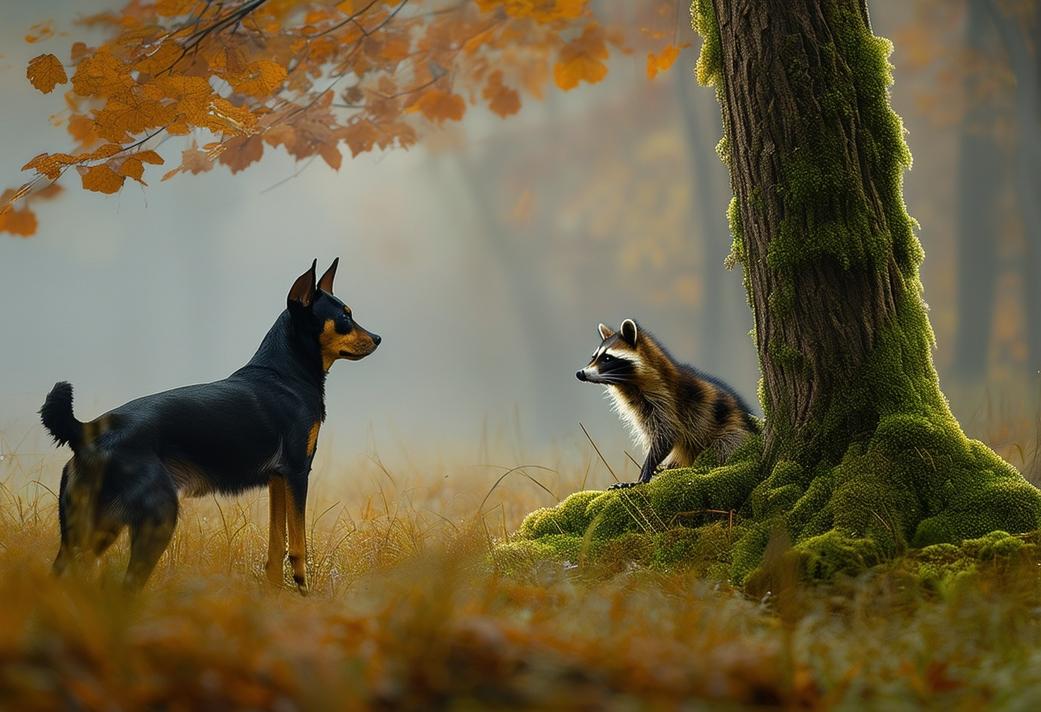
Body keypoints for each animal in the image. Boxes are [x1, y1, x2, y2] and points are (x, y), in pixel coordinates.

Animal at [42, 258, 383, 591]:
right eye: (344, 316)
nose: (378, 338)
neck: (286, 374)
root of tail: (85, 431)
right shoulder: (297, 471)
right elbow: (297, 547)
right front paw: (302, 592)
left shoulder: (278, 478)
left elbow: (277, 544)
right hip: (155, 517)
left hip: (89, 531)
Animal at [578, 320, 757, 487]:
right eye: (594, 357)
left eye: (608, 358)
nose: (580, 373)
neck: (630, 385)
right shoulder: (642, 407)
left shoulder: (666, 400)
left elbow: (666, 435)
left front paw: (644, 474)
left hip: (730, 429)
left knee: (724, 446)